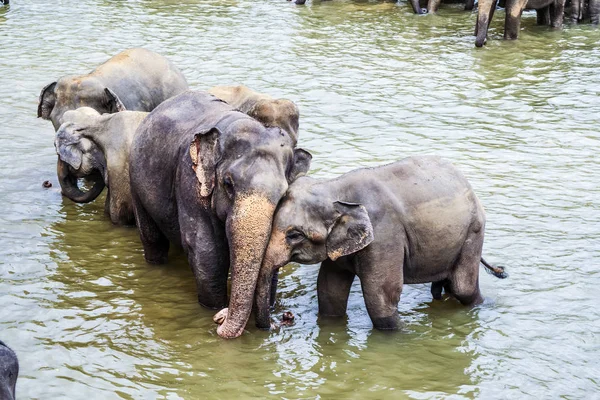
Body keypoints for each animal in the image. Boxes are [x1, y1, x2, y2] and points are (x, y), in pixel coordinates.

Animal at [129, 90, 312, 338]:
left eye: (283, 194)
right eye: (228, 184)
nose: (286, 318)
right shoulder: (190, 180)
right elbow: (207, 251)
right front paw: (213, 308)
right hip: (135, 178)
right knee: (152, 238)